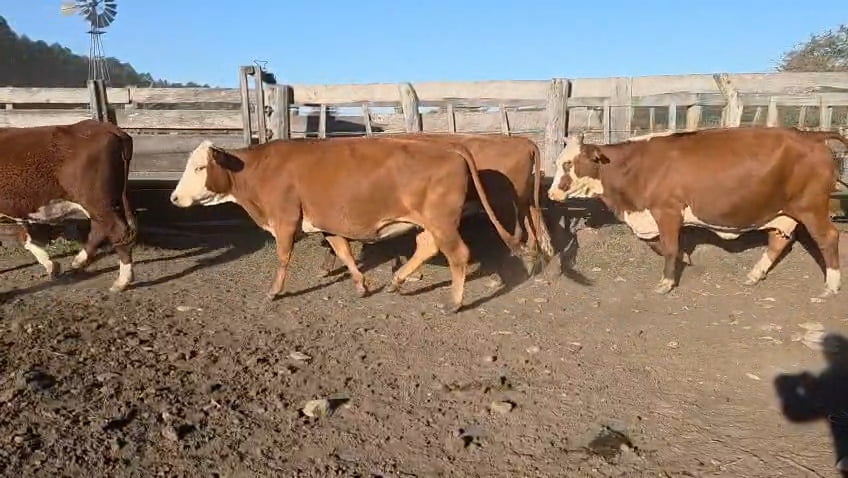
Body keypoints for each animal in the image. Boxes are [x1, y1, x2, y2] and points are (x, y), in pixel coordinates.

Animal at [0, 119, 137, 292]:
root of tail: (109, 128)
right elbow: (22, 235)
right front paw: (51, 265)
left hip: (97, 200)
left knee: (117, 230)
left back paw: (122, 281)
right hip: (106, 202)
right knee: (100, 229)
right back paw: (79, 261)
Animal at [168, 136, 521, 312]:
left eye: (200, 167)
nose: (174, 198)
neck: (260, 169)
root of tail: (451, 147)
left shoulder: (284, 221)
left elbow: (283, 258)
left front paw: (273, 292)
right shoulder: (328, 225)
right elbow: (344, 252)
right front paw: (361, 285)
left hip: (442, 221)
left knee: (457, 255)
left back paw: (454, 302)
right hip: (432, 223)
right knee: (427, 246)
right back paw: (396, 281)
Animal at [547, 126, 845, 297]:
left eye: (568, 164)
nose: (551, 193)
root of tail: (811, 135)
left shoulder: (667, 211)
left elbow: (668, 247)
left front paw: (667, 282)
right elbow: (661, 246)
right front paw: (684, 259)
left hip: (811, 207)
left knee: (828, 238)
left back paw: (831, 285)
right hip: (784, 211)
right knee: (778, 240)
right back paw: (754, 275)